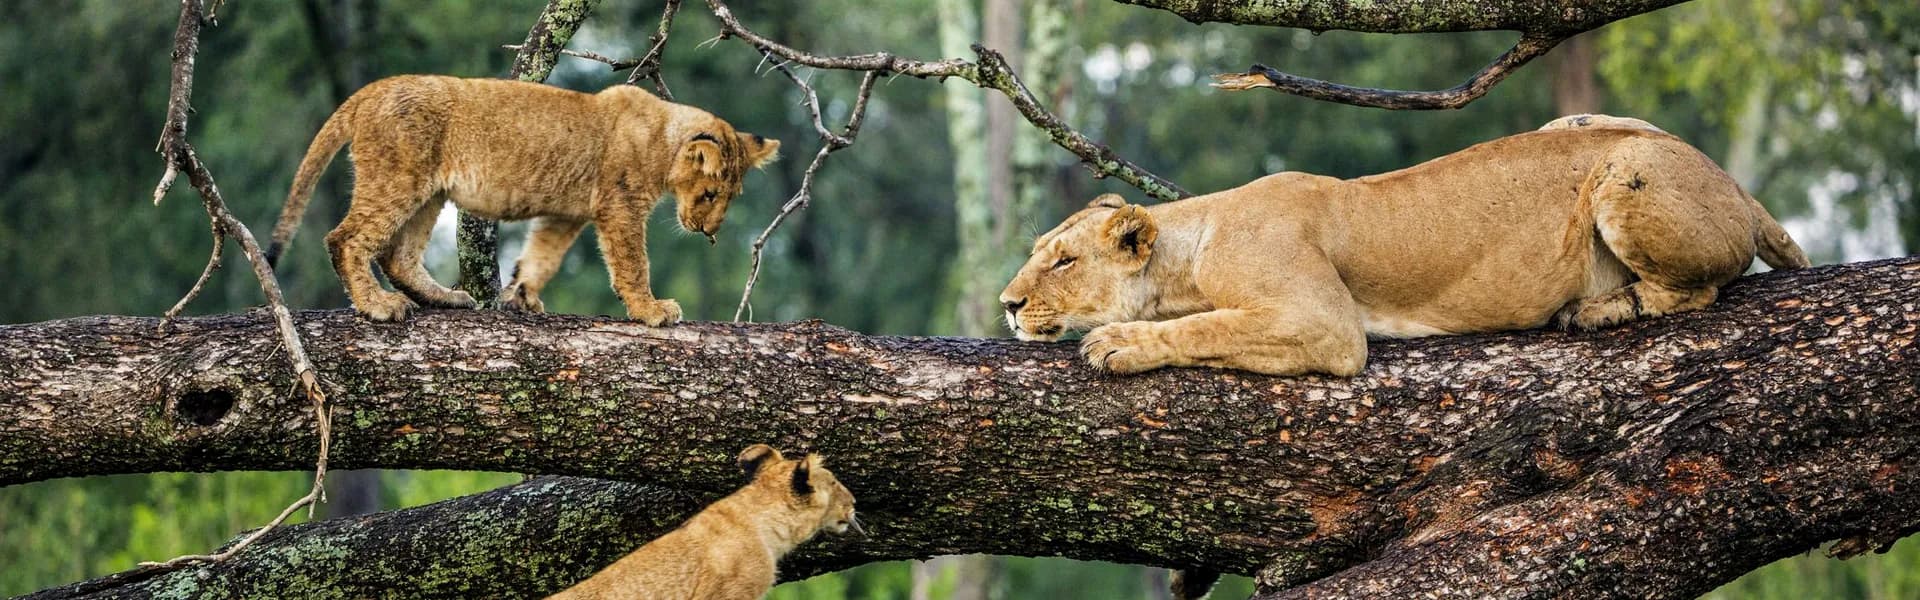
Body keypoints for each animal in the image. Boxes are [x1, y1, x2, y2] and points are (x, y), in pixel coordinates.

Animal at [266, 75, 780, 324]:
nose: (709, 232)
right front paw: (651, 311)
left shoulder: (567, 215)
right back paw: (377, 305)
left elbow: (541, 257)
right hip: (398, 178)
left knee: (399, 255)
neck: (664, 136)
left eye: (731, 197)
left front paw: (521, 297)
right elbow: (633, 264)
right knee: (346, 238)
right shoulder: (620, 207)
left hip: (428, 192)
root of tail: (373, 89)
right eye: (709, 194)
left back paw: (446, 298)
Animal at [999, 116, 1809, 377]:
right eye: (1040, 249)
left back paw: (1600, 308)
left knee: (1698, 289)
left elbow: (1208, 327)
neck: (1189, 249)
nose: (1007, 304)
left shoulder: (1324, 322)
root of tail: (1734, 184)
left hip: (1623, 172)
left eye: (1064, 260)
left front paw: (1116, 342)